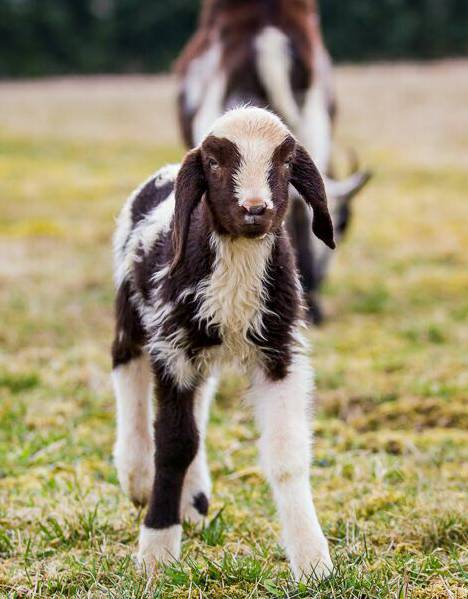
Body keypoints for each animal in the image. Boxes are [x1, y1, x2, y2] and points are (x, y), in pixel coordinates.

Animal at [111, 107, 333, 579]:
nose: (255, 209)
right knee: (127, 368)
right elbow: (173, 445)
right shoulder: (172, 346)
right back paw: (136, 472)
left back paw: (192, 499)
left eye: (286, 163)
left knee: (199, 401)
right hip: (132, 306)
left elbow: (286, 453)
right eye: (214, 163)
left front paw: (312, 559)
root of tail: (165, 171)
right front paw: (156, 548)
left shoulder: (279, 352)